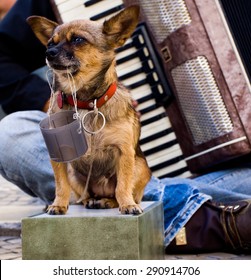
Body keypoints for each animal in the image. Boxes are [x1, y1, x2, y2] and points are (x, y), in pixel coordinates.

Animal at [27, 5, 151, 214]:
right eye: (50, 43)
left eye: (78, 40)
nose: (49, 52)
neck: (84, 102)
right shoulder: (58, 156)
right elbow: (61, 185)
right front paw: (58, 204)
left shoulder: (124, 152)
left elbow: (123, 185)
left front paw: (127, 204)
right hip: (74, 174)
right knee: (83, 195)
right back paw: (89, 201)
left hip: (140, 166)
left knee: (117, 192)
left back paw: (109, 201)